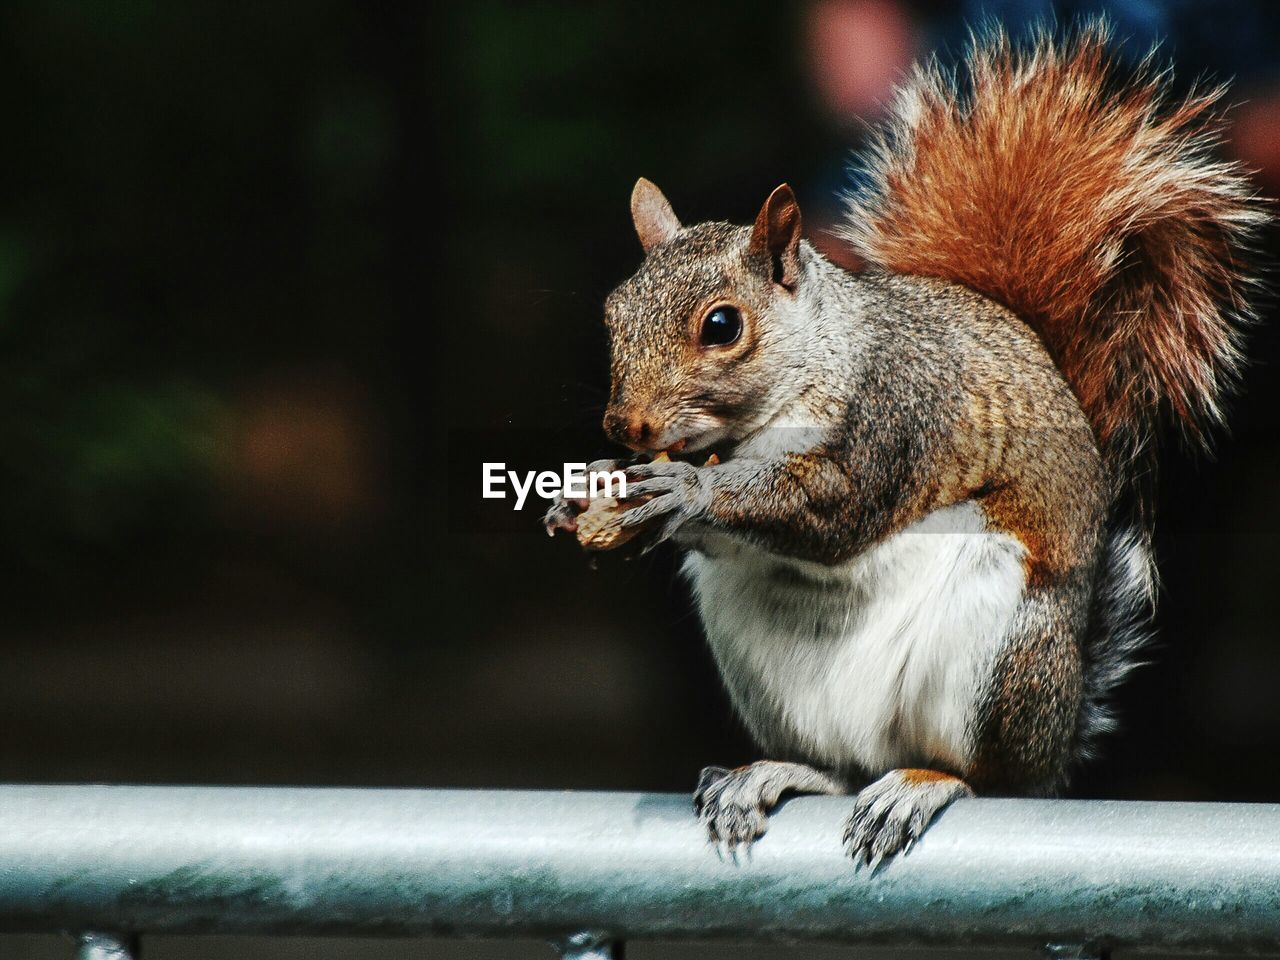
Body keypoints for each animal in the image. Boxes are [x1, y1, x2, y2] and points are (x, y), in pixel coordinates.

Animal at [545, 22, 1264, 870]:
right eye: (613, 311)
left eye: (722, 325)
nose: (626, 428)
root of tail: (1058, 736)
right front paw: (587, 490)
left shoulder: (898, 415)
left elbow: (834, 510)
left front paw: (686, 491)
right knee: (840, 767)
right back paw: (775, 773)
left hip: (999, 650)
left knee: (986, 777)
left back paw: (923, 784)